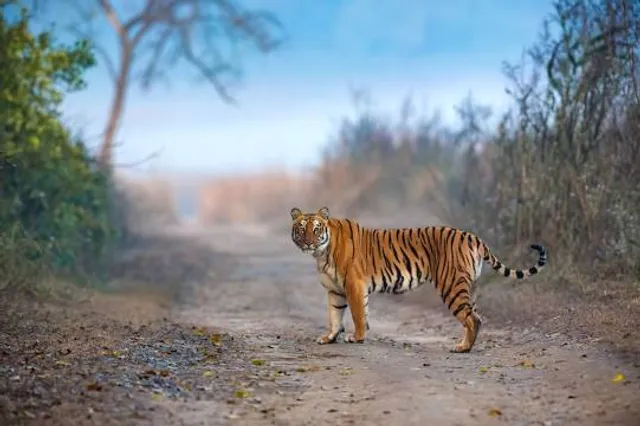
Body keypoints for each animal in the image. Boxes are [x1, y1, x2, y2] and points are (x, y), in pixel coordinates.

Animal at [289, 206, 547, 353]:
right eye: (301, 229)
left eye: (316, 228)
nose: (308, 242)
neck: (321, 253)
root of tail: (472, 236)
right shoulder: (335, 291)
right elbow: (334, 316)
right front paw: (329, 338)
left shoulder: (353, 285)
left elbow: (358, 314)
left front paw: (357, 337)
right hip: (469, 287)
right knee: (476, 316)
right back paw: (466, 345)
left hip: (451, 285)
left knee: (472, 319)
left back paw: (462, 349)